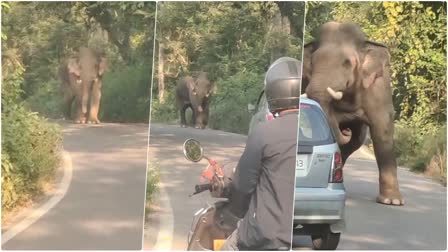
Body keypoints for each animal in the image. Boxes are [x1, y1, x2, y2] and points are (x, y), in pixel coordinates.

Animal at [300, 21, 402, 206]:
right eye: (313, 61)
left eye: (347, 63)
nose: (346, 129)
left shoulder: (379, 87)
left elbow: (382, 130)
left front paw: (391, 201)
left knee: (354, 142)